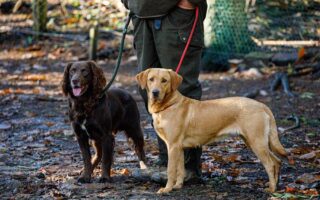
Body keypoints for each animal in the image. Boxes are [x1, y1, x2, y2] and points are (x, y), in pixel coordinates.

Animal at [135, 68, 288, 194]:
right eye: (151, 79)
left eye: (164, 80)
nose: (155, 92)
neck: (168, 105)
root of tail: (262, 105)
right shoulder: (178, 148)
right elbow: (180, 169)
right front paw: (178, 186)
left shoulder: (172, 146)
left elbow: (171, 170)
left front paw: (167, 189)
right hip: (255, 142)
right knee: (277, 161)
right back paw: (277, 185)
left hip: (256, 142)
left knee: (270, 164)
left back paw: (271, 189)